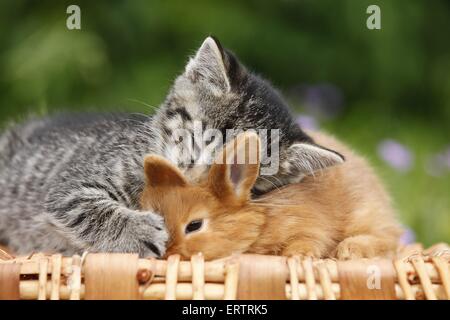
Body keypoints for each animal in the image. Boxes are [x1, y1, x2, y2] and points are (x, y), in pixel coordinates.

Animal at [140, 132, 400, 260]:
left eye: (194, 225)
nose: (167, 253)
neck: (261, 221)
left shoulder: (309, 222)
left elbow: (312, 238)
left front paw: (298, 256)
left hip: (366, 215)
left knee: (388, 240)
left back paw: (349, 250)